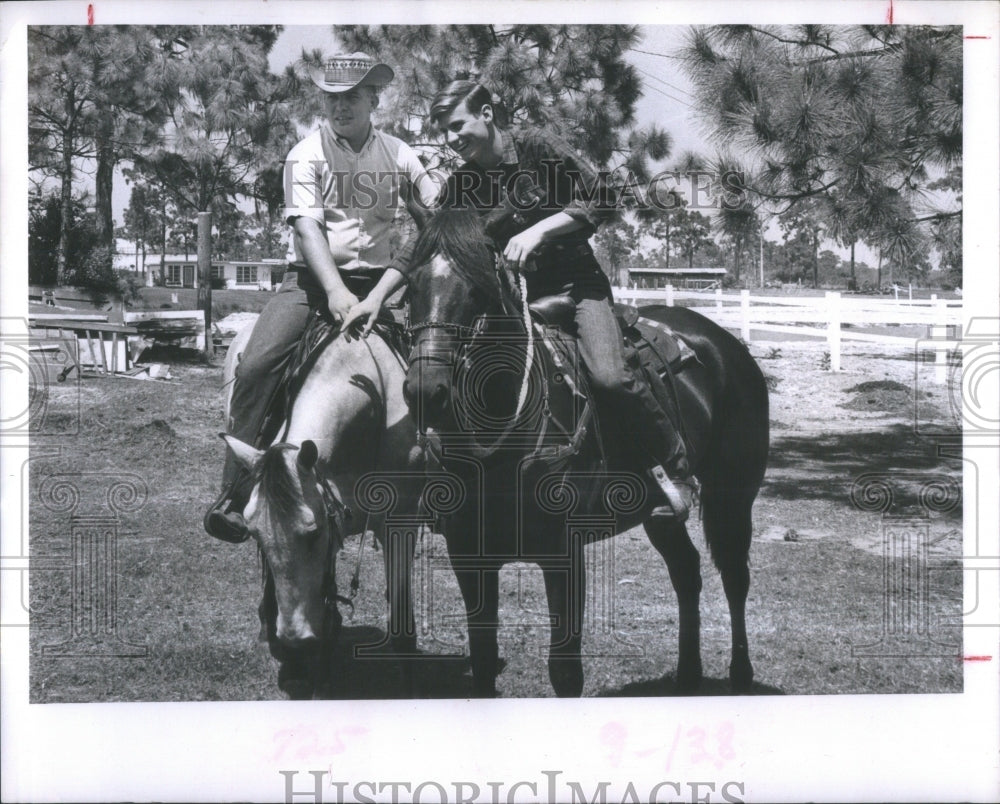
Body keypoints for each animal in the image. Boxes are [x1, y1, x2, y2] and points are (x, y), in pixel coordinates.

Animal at [402, 207, 768, 696]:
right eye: (410, 286)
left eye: (479, 290)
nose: (426, 391)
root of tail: (726, 345)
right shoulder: (468, 554)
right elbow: (481, 664)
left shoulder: (564, 554)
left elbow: (565, 671)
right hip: (660, 514)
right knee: (686, 572)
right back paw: (688, 675)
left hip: (735, 495)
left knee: (734, 576)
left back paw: (741, 674)